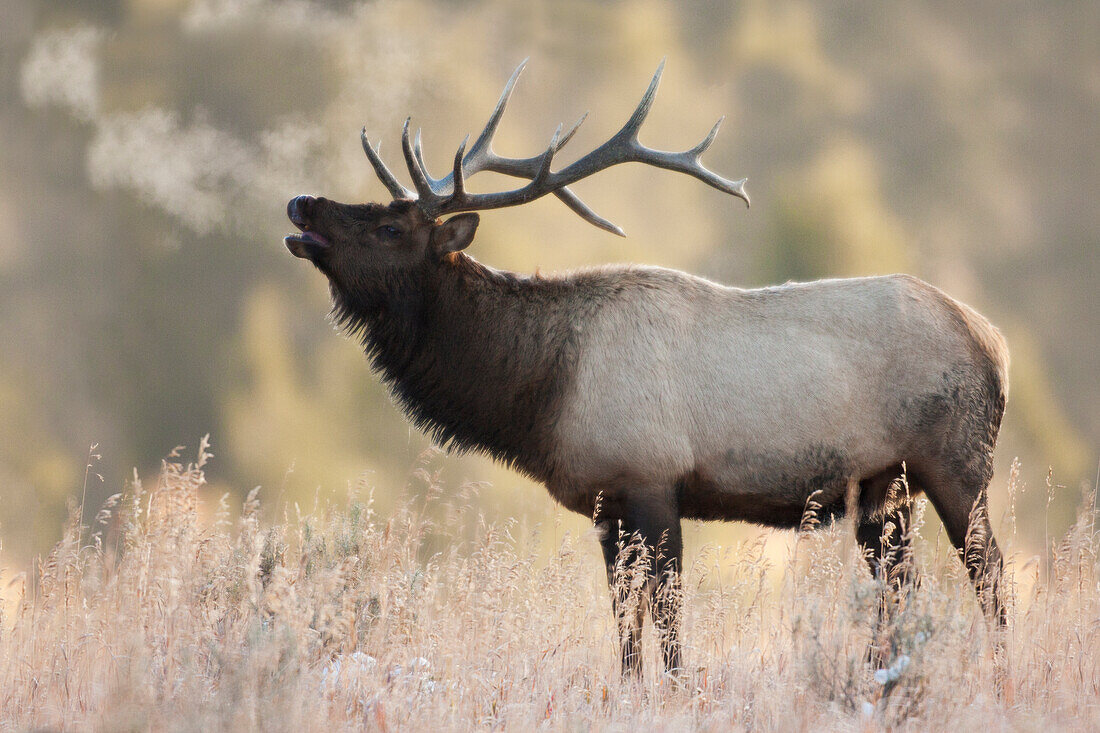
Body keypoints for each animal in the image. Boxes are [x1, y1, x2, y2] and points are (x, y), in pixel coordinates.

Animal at [283, 61, 1007, 673]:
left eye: (390, 227)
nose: (301, 203)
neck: (541, 390)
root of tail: (995, 343)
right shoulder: (607, 504)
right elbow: (626, 624)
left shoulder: (652, 480)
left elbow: (666, 616)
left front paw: (681, 690)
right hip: (886, 492)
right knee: (900, 594)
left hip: (957, 464)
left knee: (991, 578)